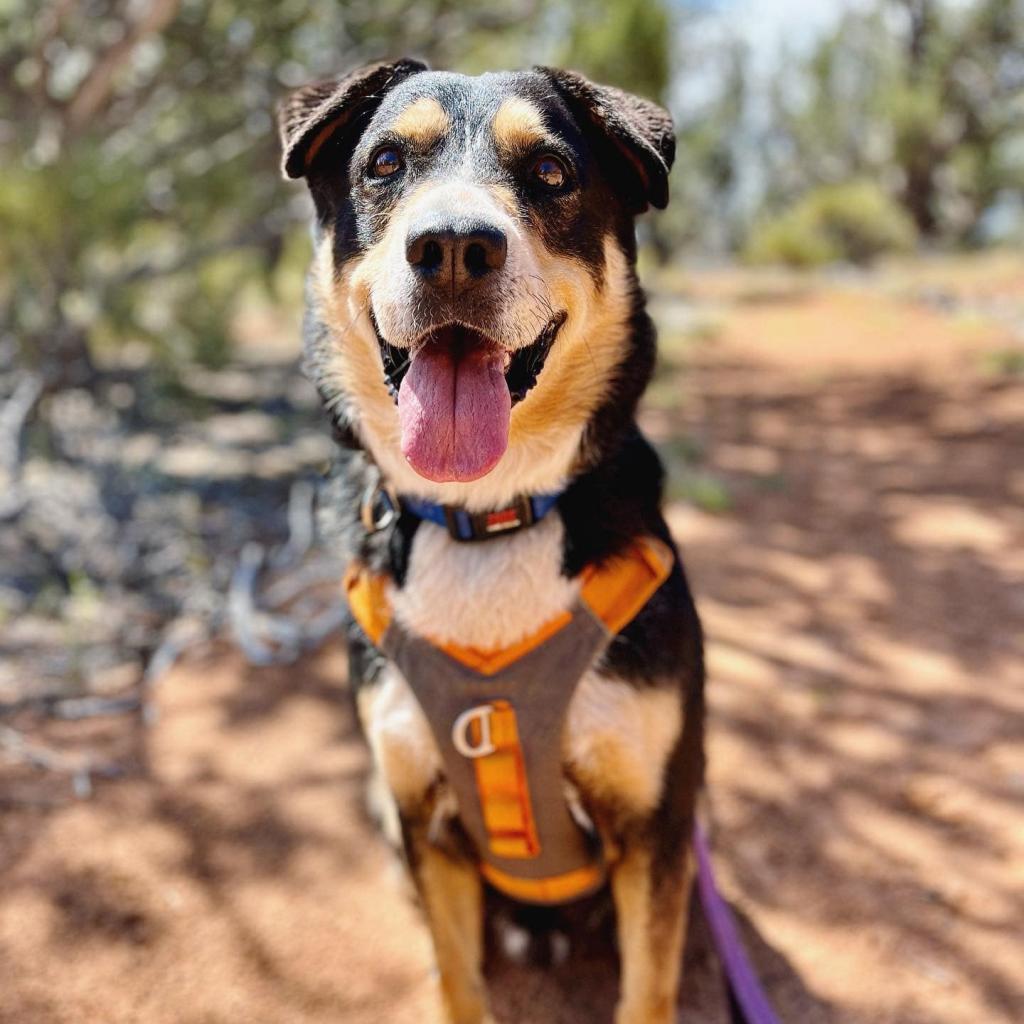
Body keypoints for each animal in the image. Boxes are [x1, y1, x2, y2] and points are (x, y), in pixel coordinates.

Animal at [278, 59, 704, 1019]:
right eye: (386, 162)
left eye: (549, 171)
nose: (452, 248)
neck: (489, 518)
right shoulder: (421, 819)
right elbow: (455, 975)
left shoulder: (654, 824)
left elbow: (648, 990)